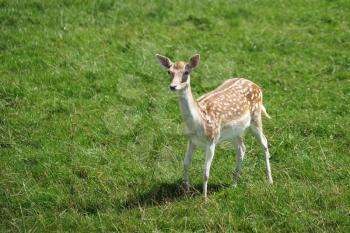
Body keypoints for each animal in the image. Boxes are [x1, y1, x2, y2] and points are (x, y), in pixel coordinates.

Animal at [156, 53, 274, 199]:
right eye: (169, 71)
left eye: (186, 72)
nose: (173, 86)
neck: (199, 121)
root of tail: (256, 85)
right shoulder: (191, 140)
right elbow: (185, 164)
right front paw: (186, 192)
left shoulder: (211, 140)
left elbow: (205, 172)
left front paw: (205, 198)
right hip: (233, 132)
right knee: (241, 148)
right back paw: (234, 183)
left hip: (255, 117)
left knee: (264, 142)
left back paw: (270, 180)